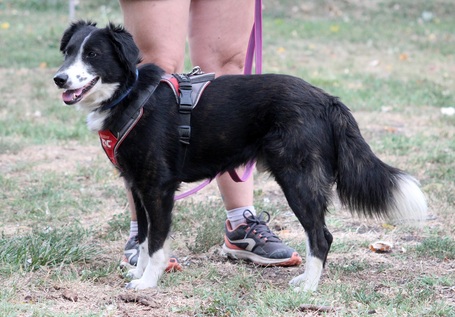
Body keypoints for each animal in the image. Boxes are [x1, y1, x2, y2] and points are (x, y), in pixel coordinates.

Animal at [53, 21, 428, 290]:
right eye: (68, 52)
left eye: (93, 55)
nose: (59, 79)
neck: (130, 95)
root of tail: (326, 100)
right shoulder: (137, 186)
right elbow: (144, 240)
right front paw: (139, 274)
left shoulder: (157, 189)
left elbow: (157, 243)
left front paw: (147, 283)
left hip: (298, 179)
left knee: (321, 236)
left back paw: (309, 286)